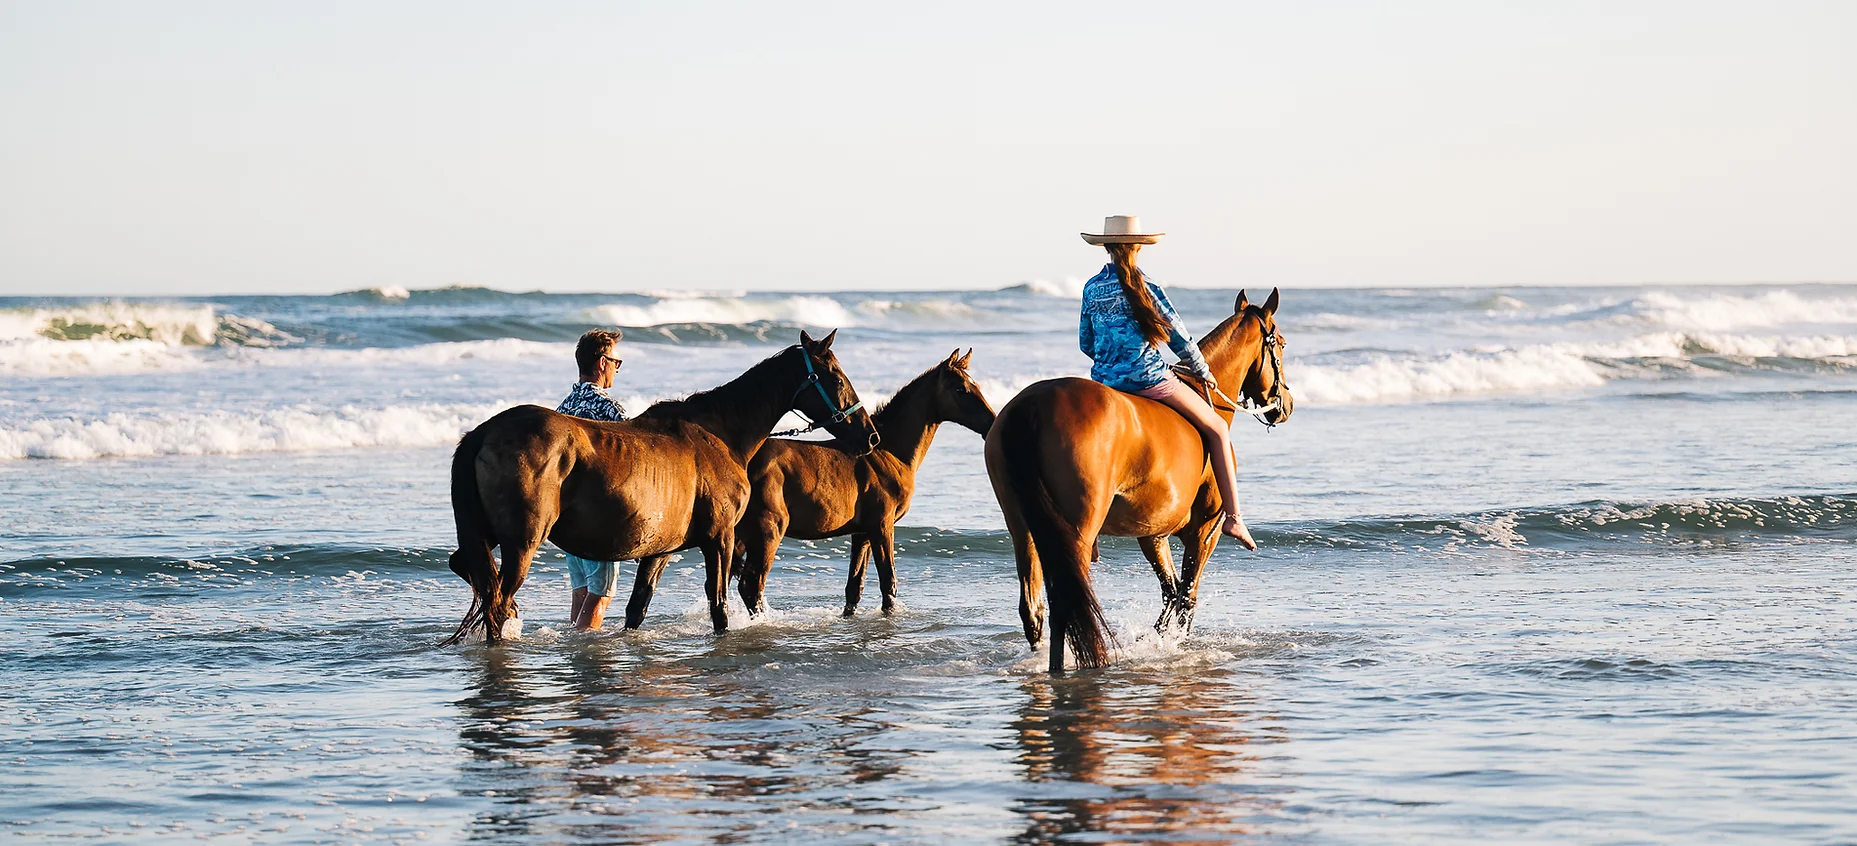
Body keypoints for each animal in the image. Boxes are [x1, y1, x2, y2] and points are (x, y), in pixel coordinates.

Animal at [451, 328, 883, 641]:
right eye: (836, 377)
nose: (871, 436)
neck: (718, 435)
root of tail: (484, 432)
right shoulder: (721, 538)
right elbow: (719, 605)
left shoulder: (660, 549)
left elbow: (637, 609)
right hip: (523, 541)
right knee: (497, 600)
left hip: (488, 536)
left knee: (471, 573)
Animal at [731, 346, 1002, 619]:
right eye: (961, 389)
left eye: (976, 386)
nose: (992, 424)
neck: (887, 453)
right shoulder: (882, 526)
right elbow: (888, 582)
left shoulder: (862, 533)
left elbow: (855, 587)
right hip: (767, 532)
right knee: (752, 585)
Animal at [987, 291, 1292, 675]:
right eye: (1280, 343)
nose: (1286, 405)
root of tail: (1031, 406)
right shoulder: (1203, 533)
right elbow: (1186, 597)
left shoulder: (1153, 534)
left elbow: (1171, 593)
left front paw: (1155, 641)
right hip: (1078, 532)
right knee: (1067, 607)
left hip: (1023, 530)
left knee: (1035, 611)